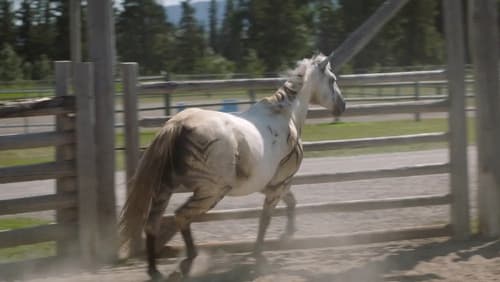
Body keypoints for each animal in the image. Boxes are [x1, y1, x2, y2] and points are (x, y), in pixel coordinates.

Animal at [119, 53, 346, 280]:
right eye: (332, 79)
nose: (343, 106)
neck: (286, 115)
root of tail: (178, 124)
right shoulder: (280, 183)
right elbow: (266, 219)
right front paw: (260, 254)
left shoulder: (271, 185)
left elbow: (291, 202)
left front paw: (287, 235)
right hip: (211, 192)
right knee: (181, 216)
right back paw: (189, 260)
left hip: (165, 188)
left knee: (152, 224)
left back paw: (155, 270)